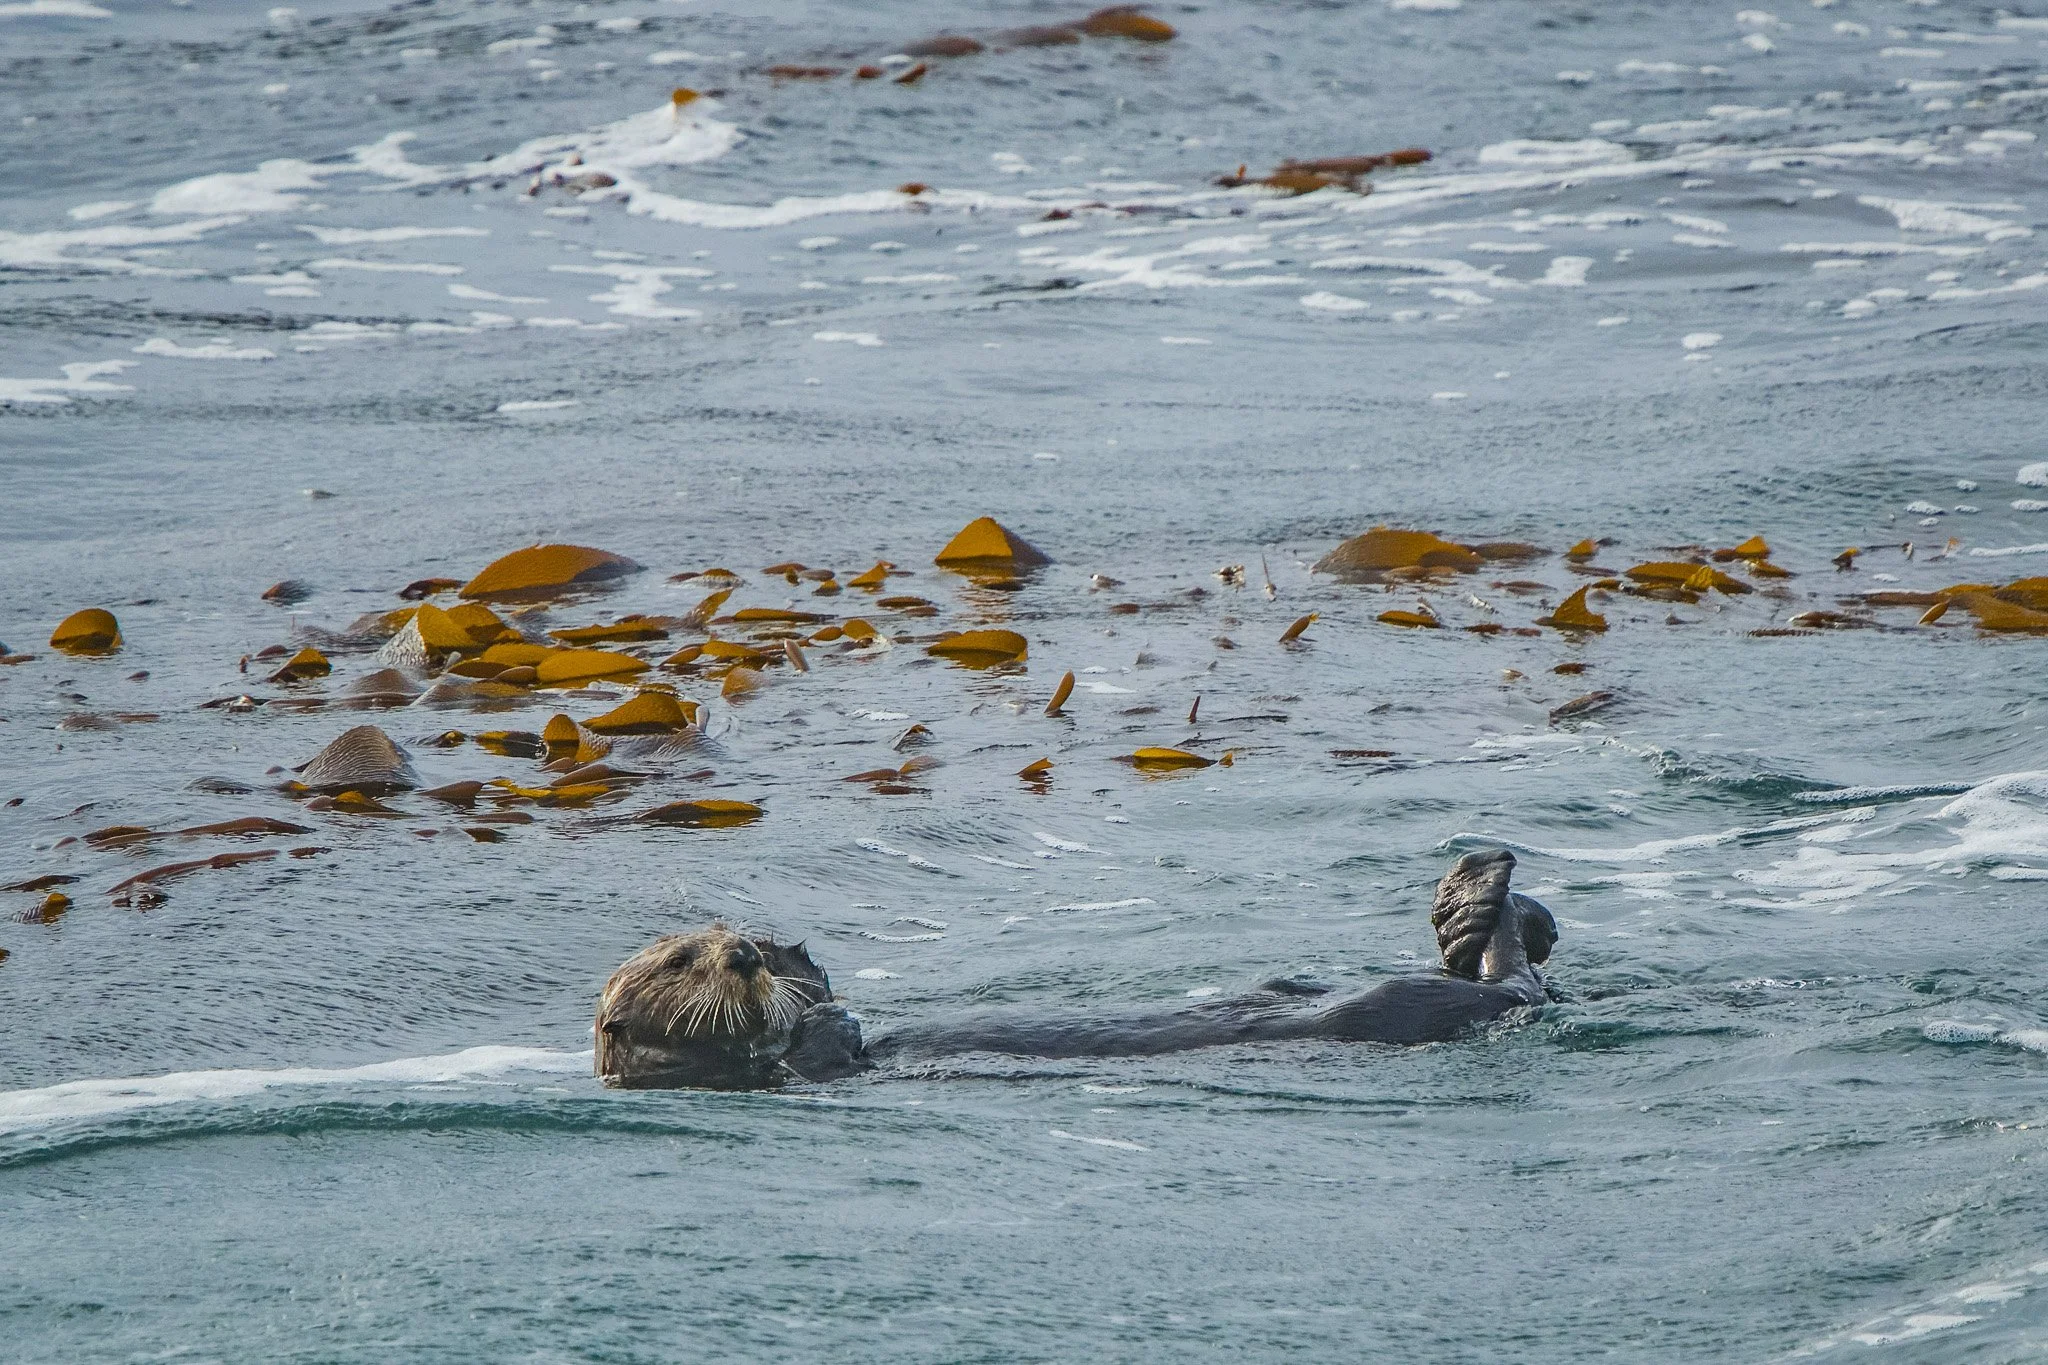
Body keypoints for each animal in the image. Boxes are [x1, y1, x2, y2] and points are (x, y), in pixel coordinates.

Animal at [595, 848, 1556, 1089]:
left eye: (738, 941)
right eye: (680, 960)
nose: (745, 955)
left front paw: (810, 977)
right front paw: (822, 1016)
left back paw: (1486, 899)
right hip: (1394, 1009)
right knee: (1497, 988)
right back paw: (1490, 898)